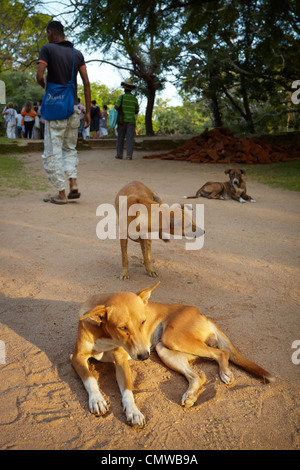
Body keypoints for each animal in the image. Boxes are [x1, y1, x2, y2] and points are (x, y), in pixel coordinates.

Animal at [72, 280, 274, 428]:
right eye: (122, 328)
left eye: (144, 322)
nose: (144, 356)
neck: (105, 335)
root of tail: (200, 313)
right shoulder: (77, 358)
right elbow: (90, 378)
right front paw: (97, 399)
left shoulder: (122, 360)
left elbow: (128, 391)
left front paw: (134, 411)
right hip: (165, 349)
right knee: (198, 376)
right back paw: (191, 395)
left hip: (173, 338)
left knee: (222, 352)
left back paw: (225, 373)